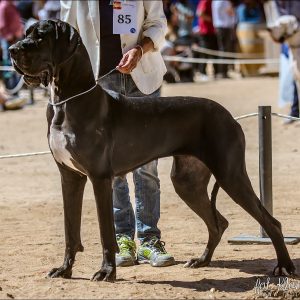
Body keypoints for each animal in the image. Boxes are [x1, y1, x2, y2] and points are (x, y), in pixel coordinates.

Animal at [9, 19, 296, 282]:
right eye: (26, 33)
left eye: (41, 36)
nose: (11, 49)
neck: (67, 101)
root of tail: (228, 116)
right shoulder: (70, 177)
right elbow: (70, 229)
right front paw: (64, 269)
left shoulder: (99, 178)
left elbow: (105, 233)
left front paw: (106, 271)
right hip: (187, 182)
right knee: (218, 222)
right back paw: (202, 260)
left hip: (230, 175)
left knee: (271, 222)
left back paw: (284, 266)